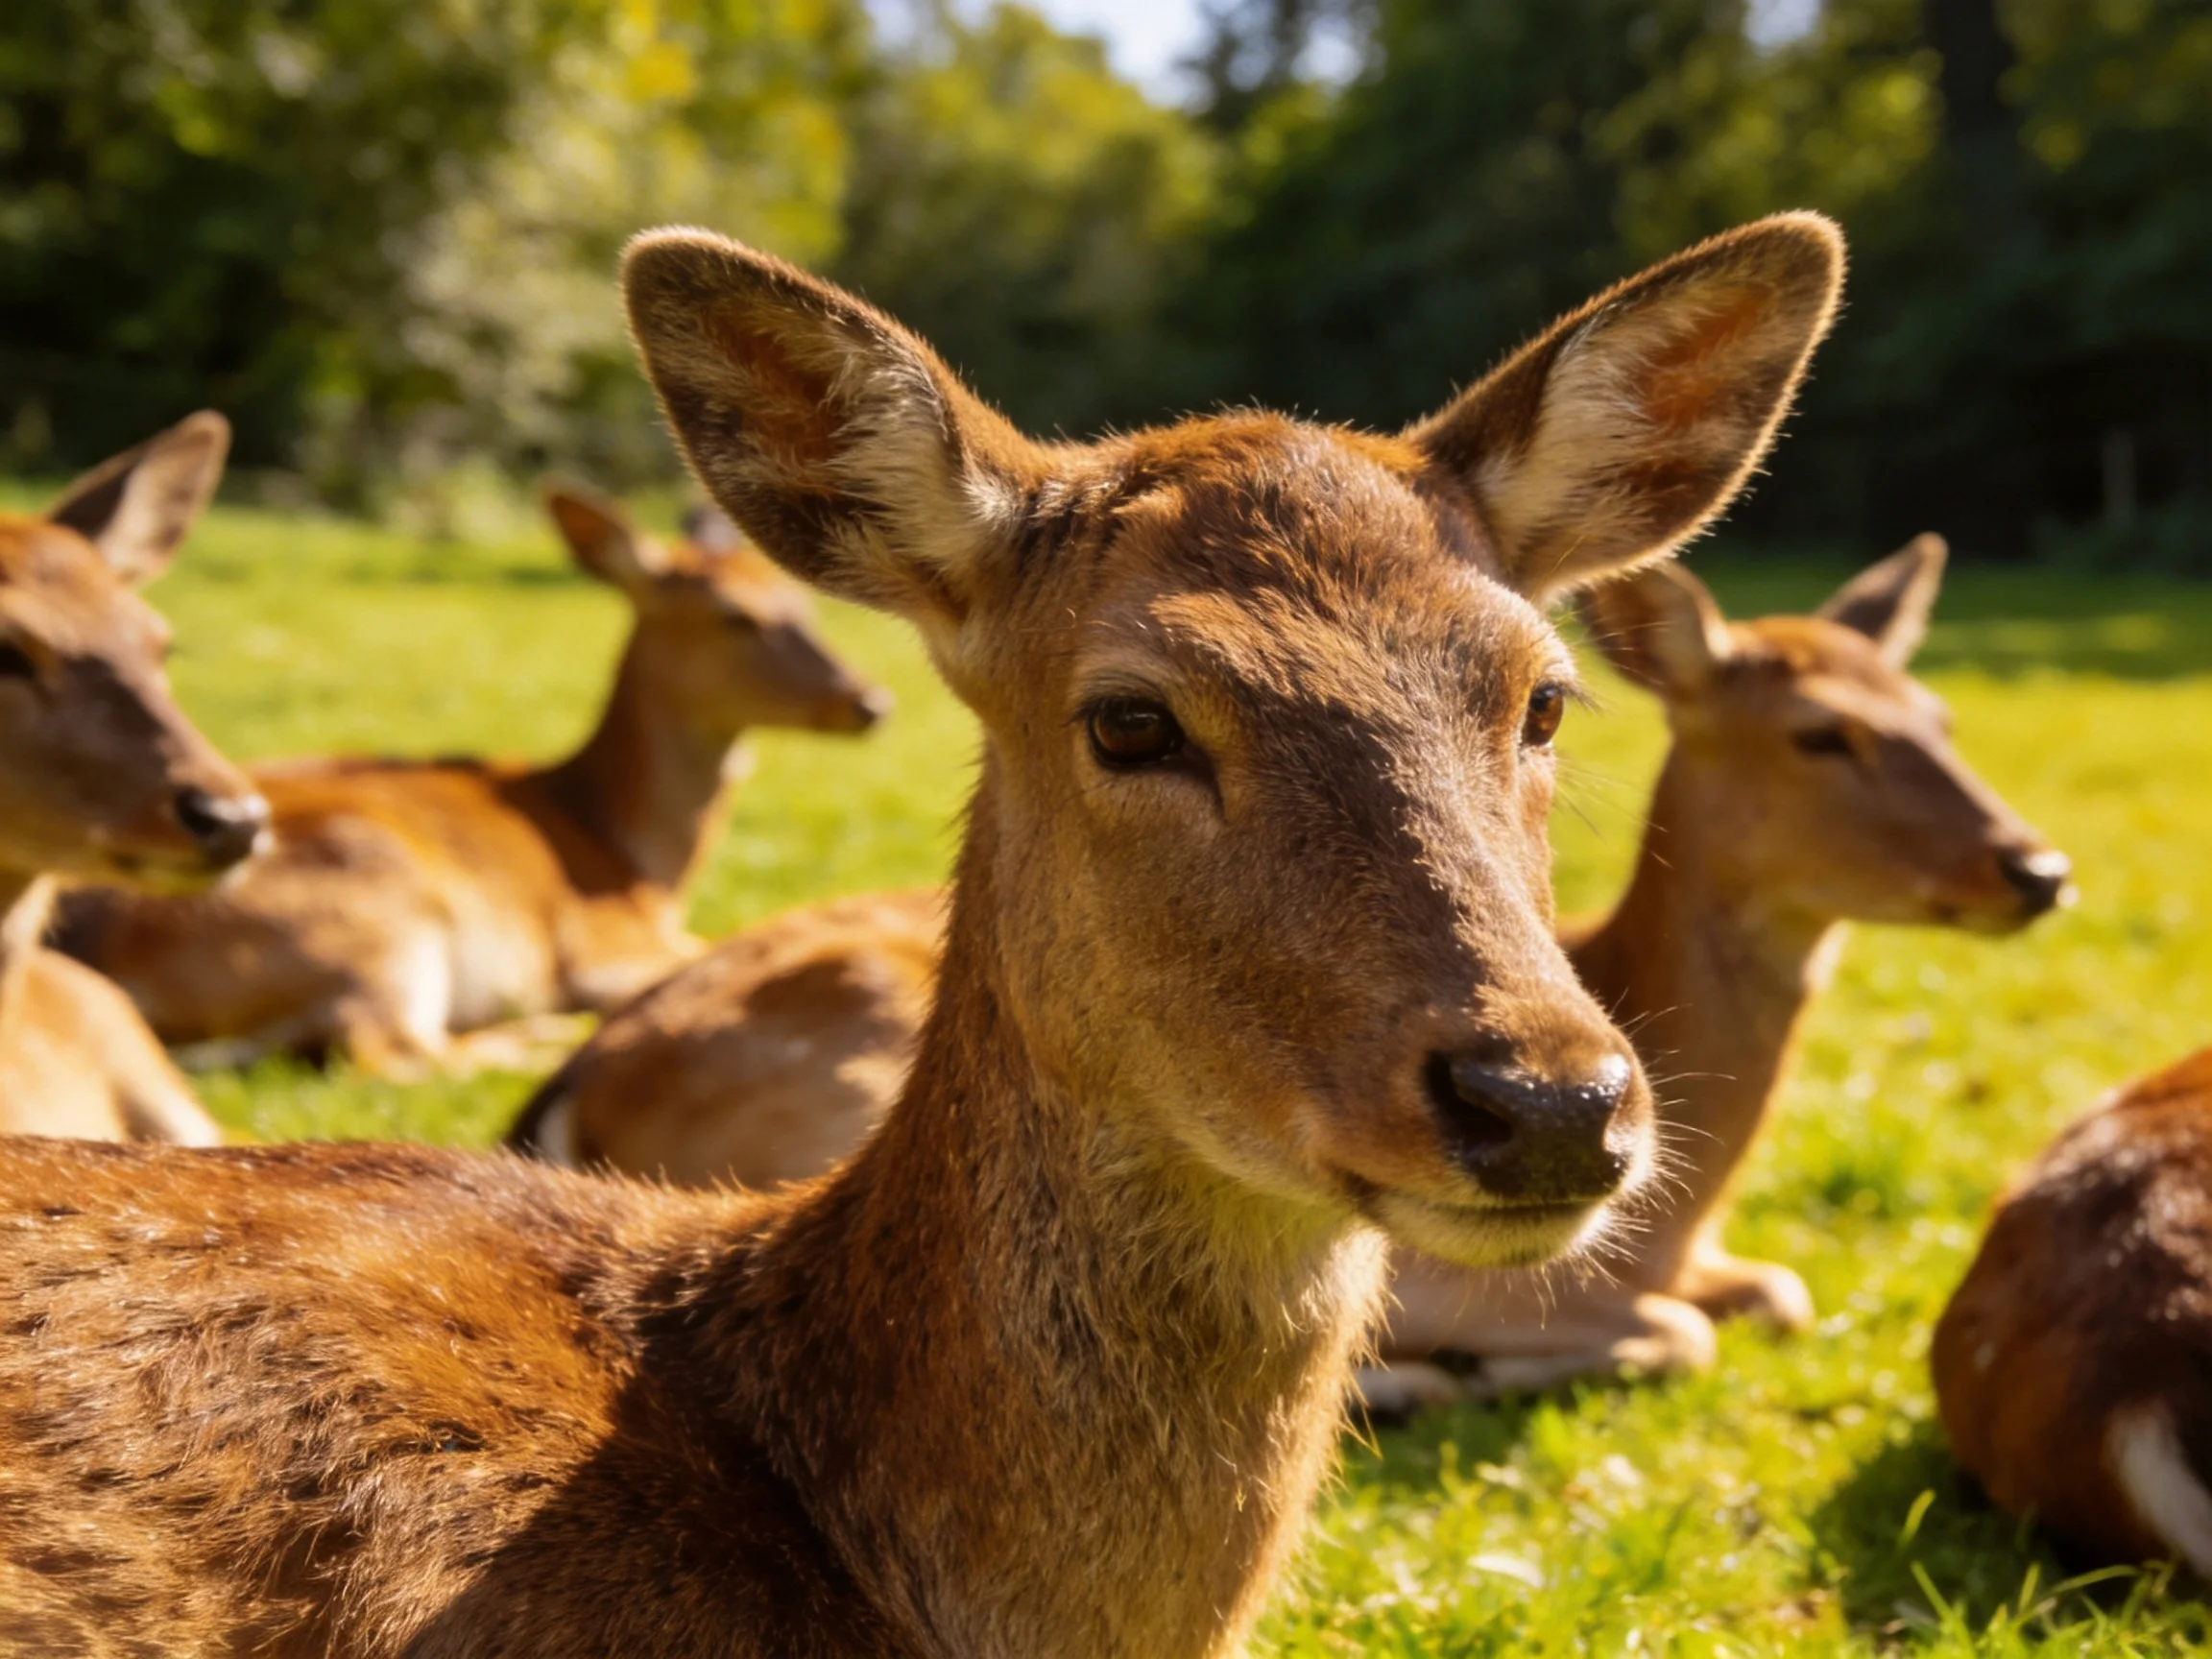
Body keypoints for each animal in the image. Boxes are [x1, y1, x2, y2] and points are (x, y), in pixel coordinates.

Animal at [50, 483, 889, 1075]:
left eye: (805, 602)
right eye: (734, 615)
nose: (868, 700)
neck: (632, 854)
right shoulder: (598, 947)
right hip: (379, 910)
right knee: (389, 1051)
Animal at [509, 541, 2072, 1408]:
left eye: (1937, 710)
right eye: (1821, 733)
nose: (2037, 869)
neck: (1687, 1211)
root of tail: (568, 1095)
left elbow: (1778, 1292)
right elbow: (1679, 1329)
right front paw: (1438, 1371)